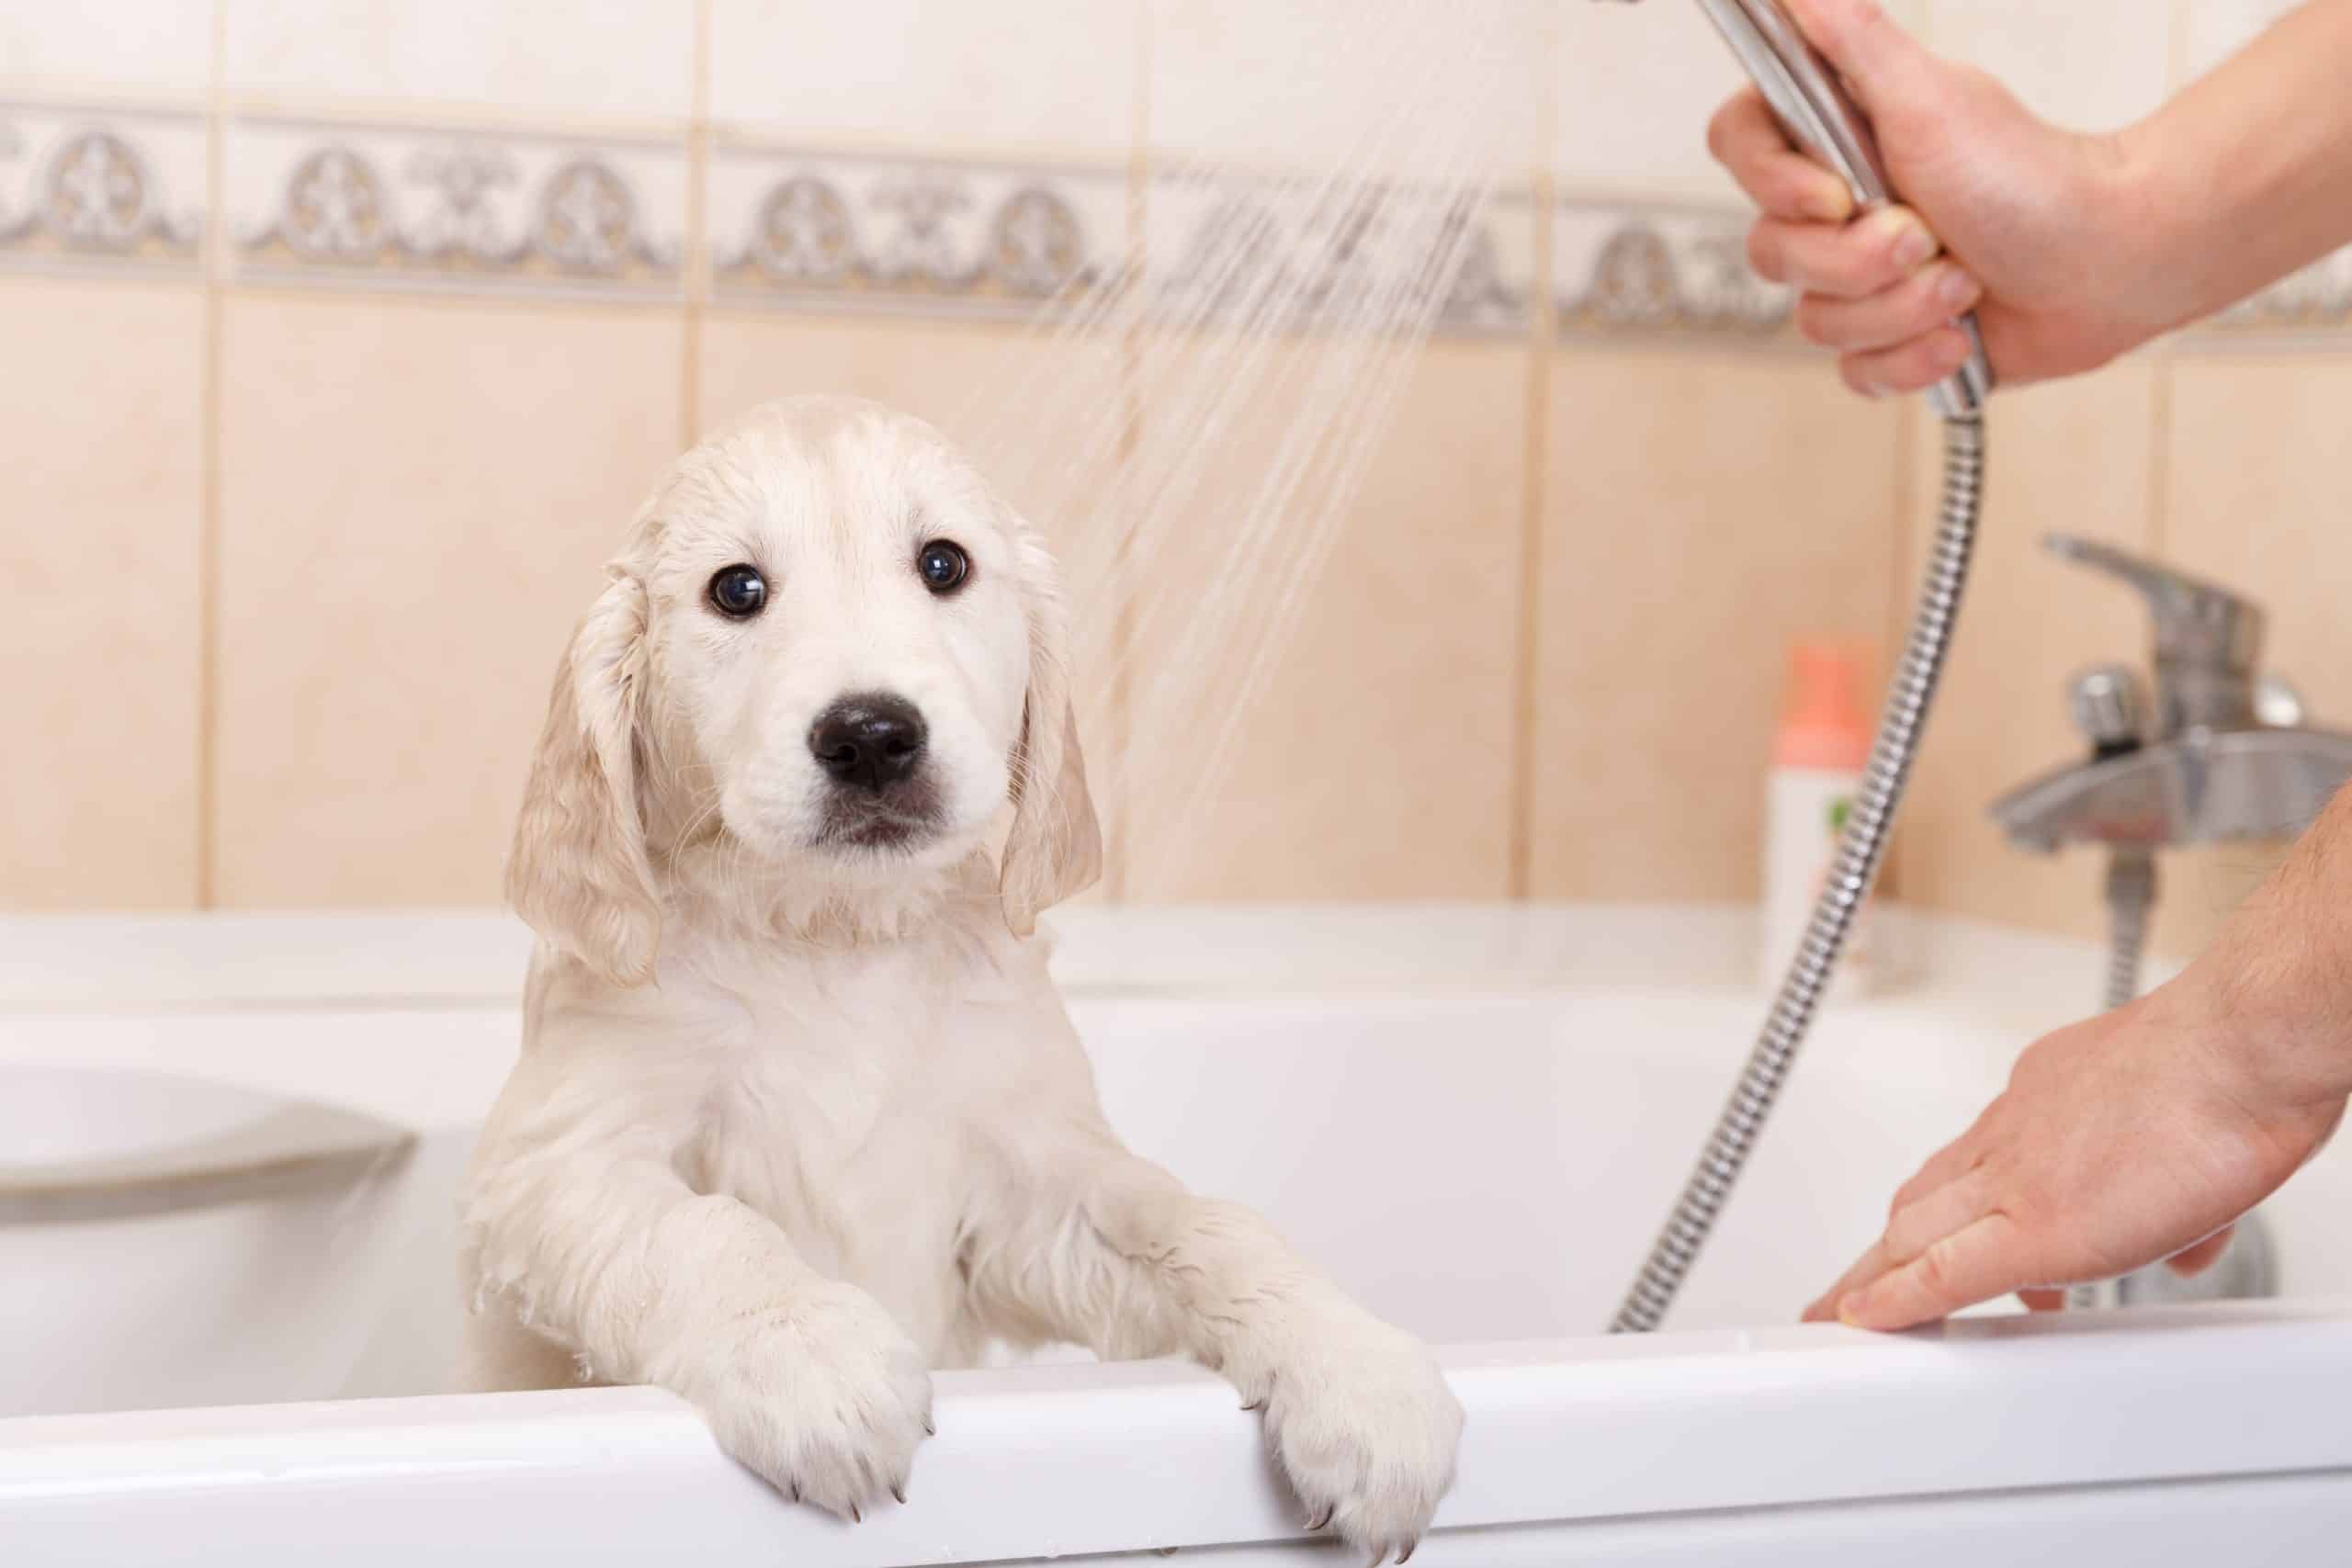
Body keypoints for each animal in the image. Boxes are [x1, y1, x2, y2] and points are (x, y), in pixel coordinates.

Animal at [458, 400, 1458, 1561]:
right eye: (735, 590)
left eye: (944, 564)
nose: (871, 736)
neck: (830, 939)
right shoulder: (554, 1166)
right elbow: (703, 1231)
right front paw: (809, 1352)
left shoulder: (1032, 1187)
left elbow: (1195, 1225)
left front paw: (1355, 1366)